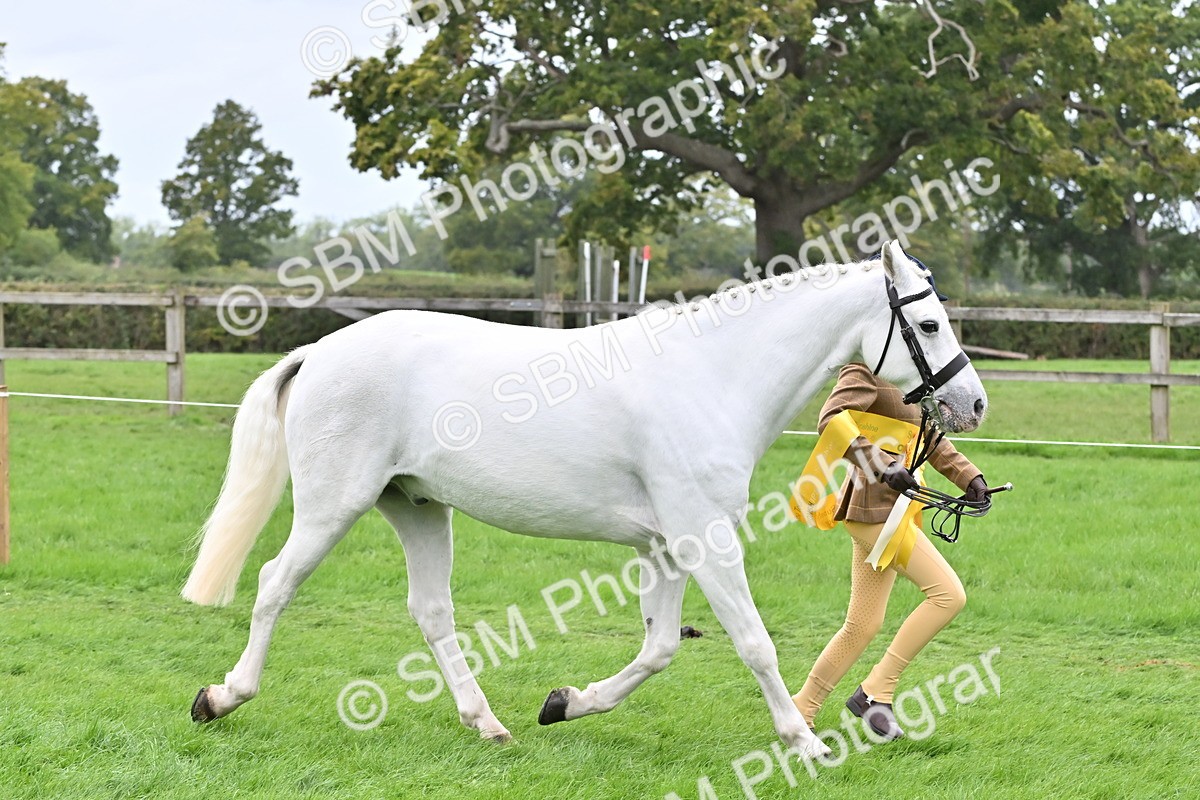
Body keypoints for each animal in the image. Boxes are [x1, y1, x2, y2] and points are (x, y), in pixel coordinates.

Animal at [181, 241, 987, 760]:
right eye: (927, 324)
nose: (972, 403)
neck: (712, 377)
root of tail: (320, 351)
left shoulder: (667, 547)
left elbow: (660, 648)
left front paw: (565, 703)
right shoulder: (703, 537)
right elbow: (755, 643)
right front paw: (805, 743)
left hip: (416, 507)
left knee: (432, 612)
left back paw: (489, 724)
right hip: (333, 505)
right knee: (274, 584)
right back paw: (221, 697)